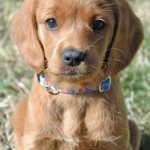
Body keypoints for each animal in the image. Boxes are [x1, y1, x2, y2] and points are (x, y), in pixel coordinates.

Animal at [11, 0, 143, 149]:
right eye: (51, 22)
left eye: (98, 24)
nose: (73, 57)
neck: (74, 93)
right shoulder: (36, 141)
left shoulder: (114, 142)